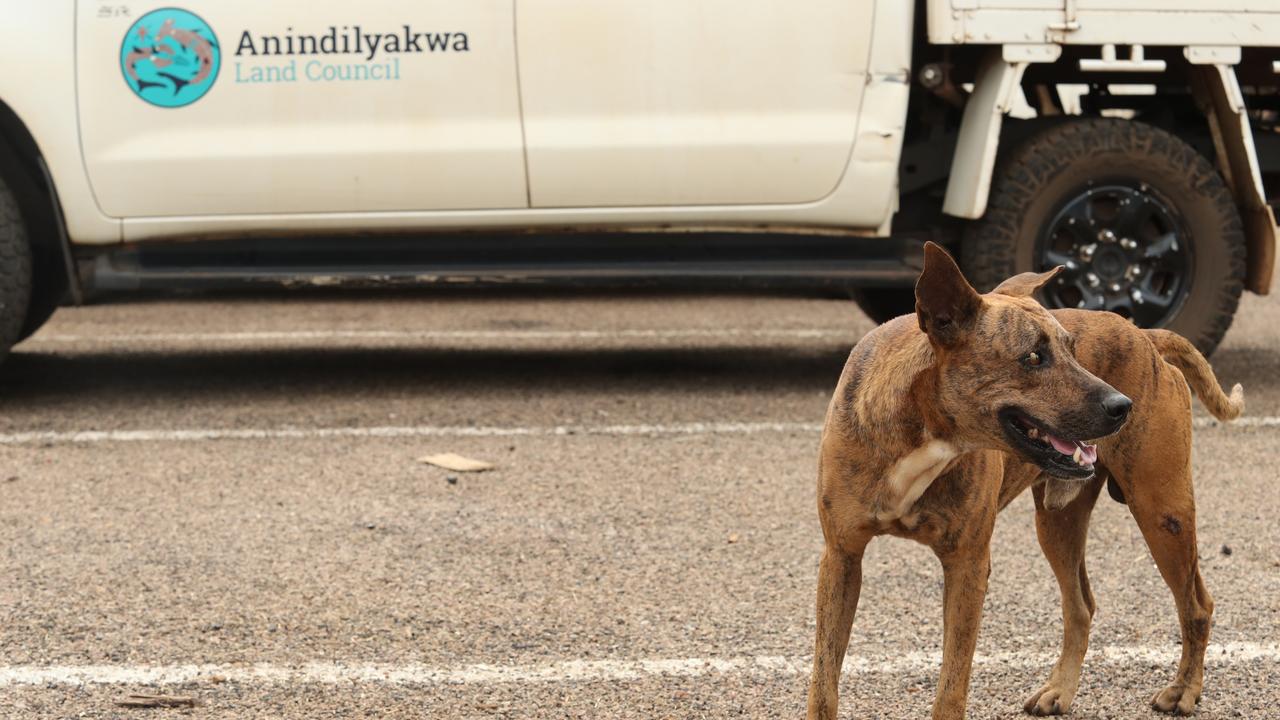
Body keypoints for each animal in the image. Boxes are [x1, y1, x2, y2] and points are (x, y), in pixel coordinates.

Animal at [808, 242, 1239, 717]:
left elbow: (952, 686)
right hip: (1058, 524)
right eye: (1033, 357)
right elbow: (824, 681)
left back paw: (1184, 689)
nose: (1122, 406)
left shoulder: (968, 567)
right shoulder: (842, 559)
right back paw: (1061, 689)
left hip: (1163, 513)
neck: (921, 433)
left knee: (1196, 606)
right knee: (1081, 607)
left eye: (1073, 349)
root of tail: (1147, 336)